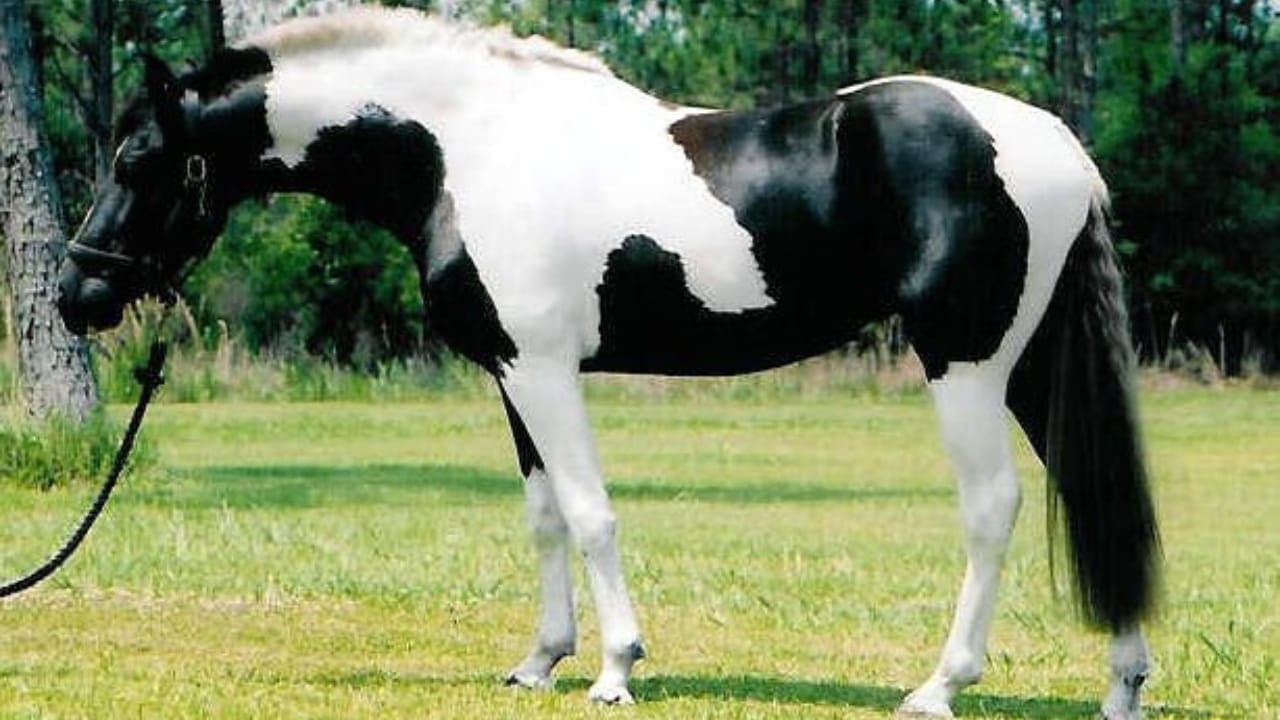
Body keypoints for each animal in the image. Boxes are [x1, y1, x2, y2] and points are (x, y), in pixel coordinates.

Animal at [56, 8, 1159, 718]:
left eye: (138, 161)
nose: (79, 295)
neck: (465, 149)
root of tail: (1055, 143)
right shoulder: (511, 373)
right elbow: (545, 516)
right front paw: (539, 662)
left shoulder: (544, 370)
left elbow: (591, 514)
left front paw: (615, 669)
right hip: (1028, 364)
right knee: (1087, 488)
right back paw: (1121, 685)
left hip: (965, 364)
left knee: (992, 507)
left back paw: (937, 687)